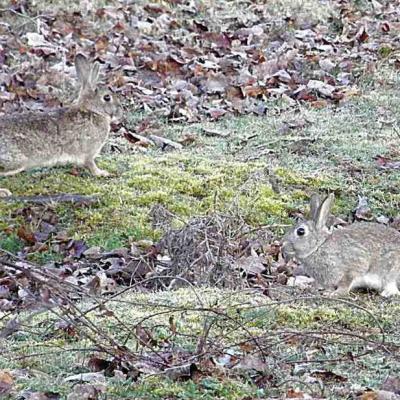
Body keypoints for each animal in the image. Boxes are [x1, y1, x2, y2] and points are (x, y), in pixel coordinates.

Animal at [0, 53, 122, 197]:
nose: (120, 112)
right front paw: (102, 173)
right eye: (107, 97)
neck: (92, 110)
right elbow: (91, 165)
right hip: (14, 161)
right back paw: (4, 192)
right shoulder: (89, 153)